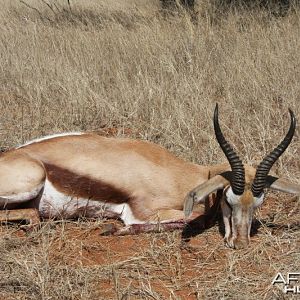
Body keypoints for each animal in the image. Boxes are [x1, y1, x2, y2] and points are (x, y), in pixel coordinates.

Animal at [0, 104, 298, 247]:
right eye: (228, 200)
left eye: (258, 204)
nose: (240, 243)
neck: (179, 173)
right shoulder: (140, 213)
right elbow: (192, 217)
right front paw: (112, 229)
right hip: (33, 180)